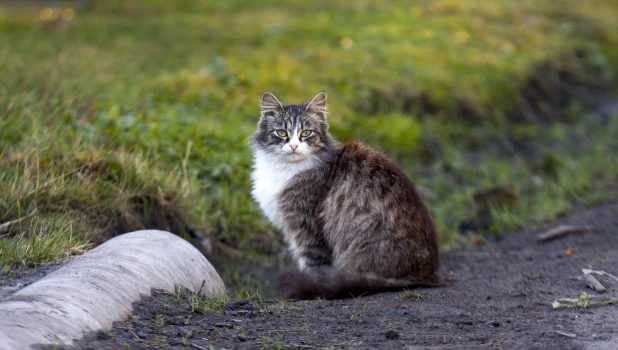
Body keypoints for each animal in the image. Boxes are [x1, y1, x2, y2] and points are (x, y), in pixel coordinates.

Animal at [250, 91, 442, 300]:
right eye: (282, 133)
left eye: (306, 133)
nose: (293, 146)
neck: (284, 169)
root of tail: (426, 273)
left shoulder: (307, 228)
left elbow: (313, 267)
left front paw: (311, 289)